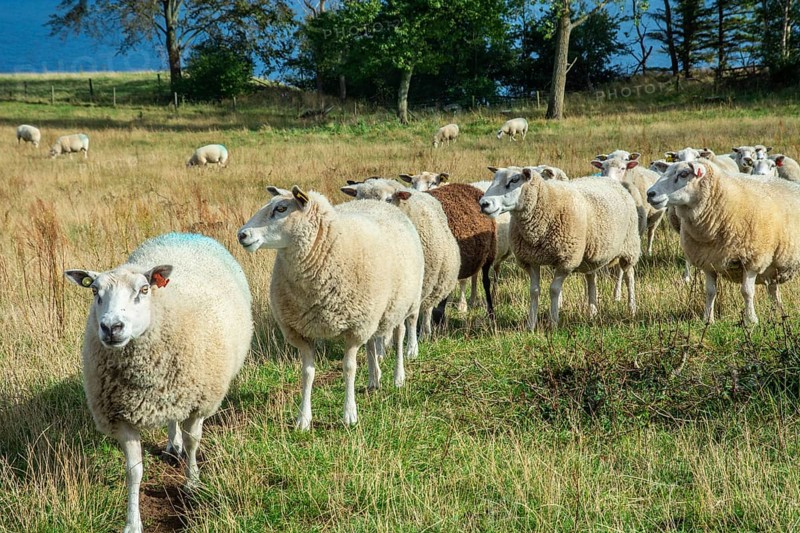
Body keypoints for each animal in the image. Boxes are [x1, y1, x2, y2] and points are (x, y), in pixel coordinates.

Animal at [64, 232, 253, 533]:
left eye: (143, 290)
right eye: (94, 292)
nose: (111, 327)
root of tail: (183, 233)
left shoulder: (198, 402)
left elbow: (193, 442)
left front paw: (192, 482)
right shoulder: (121, 417)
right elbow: (134, 471)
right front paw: (132, 522)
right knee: (171, 420)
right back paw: (171, 444)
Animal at [238, 186, 424, 429]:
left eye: (281, 208)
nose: (241, 235)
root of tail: (382, 204)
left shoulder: (354, 328)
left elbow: (349, 368)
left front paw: (349, 414)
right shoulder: (301, 331)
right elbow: (307, 373)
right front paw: (303, 419)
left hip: (402, 302)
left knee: (400, 334)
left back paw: (398, 376)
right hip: (374, 311)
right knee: (372, 342)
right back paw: (374, 378)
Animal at [479, 167, 641, 330]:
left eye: (514, 180)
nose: (483, 203)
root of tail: (608, 179)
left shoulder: (566, 260)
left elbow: (554, 290)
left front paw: (553, 322)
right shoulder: (531, 260)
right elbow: (534, 291)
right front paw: (530, 325)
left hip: (630, 246)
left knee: (629, 276)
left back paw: (632, 309)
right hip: (591, 254)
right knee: (591, 278)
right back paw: (592, 312)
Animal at [647, 161, 800, 325]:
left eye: (683, 174)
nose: (650, 194)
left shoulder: (752, 260)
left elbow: (747, 292)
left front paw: (751, 320)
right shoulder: (708, 262)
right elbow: (710, 292)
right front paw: (708, 319)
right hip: (772, 268)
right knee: (773, 290)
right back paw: (779, 312)